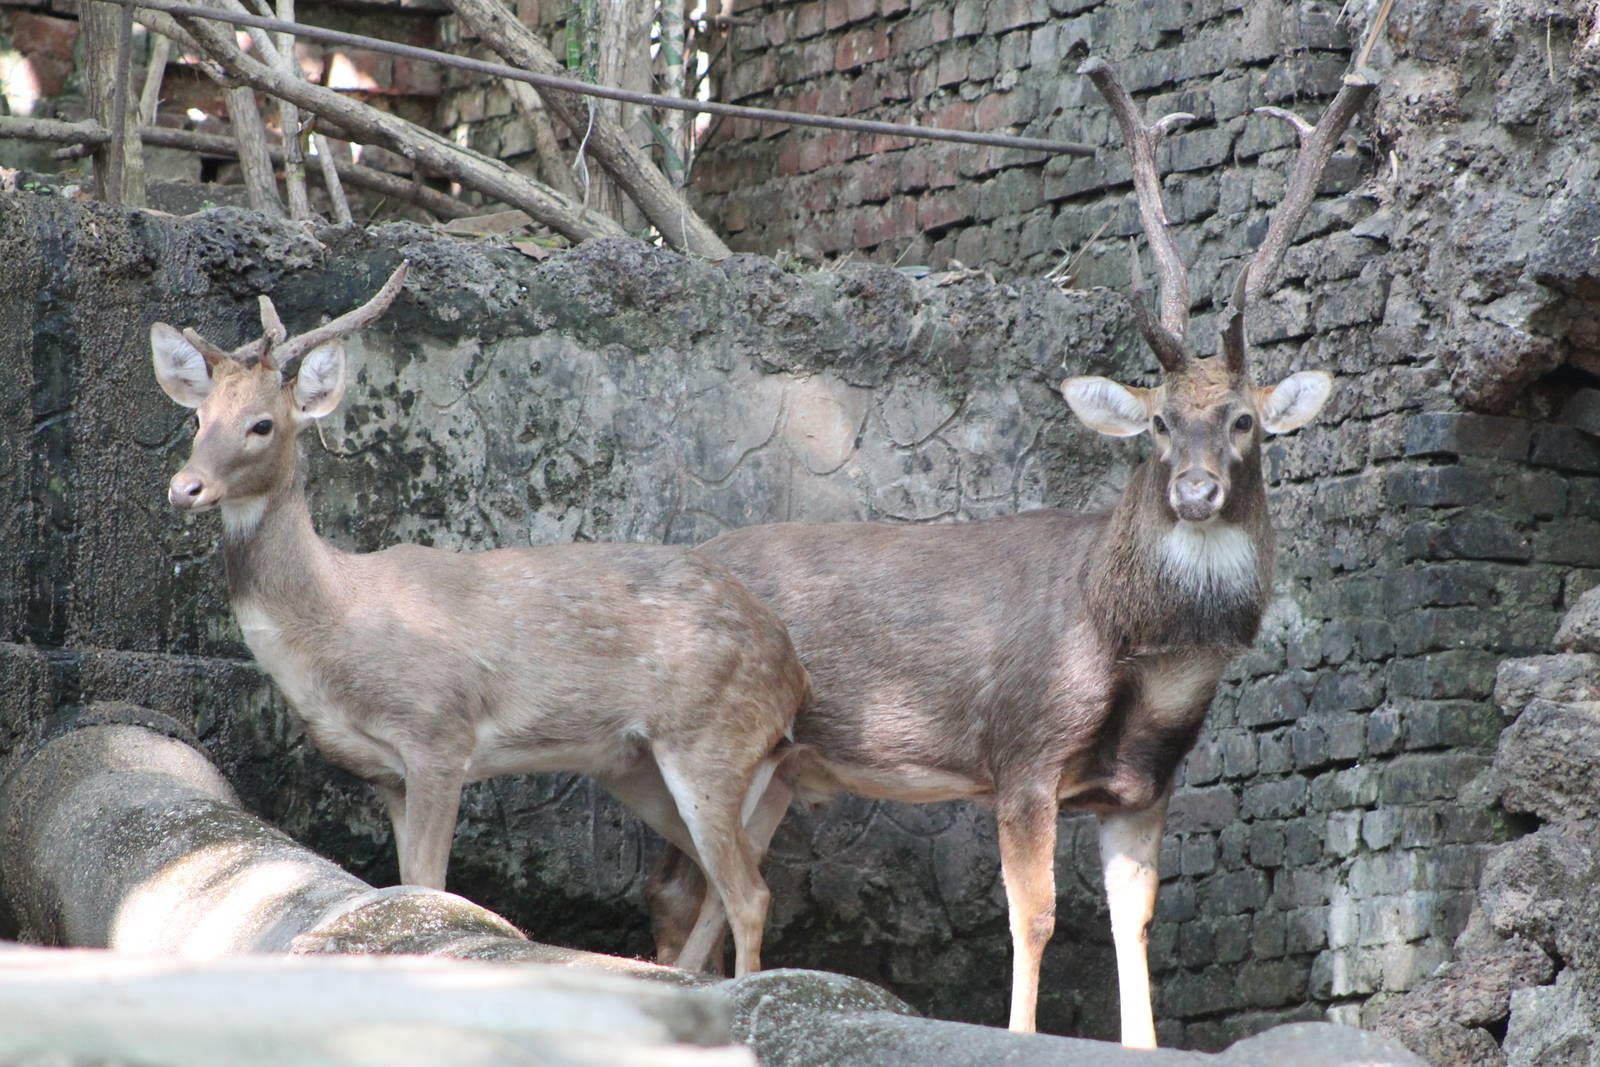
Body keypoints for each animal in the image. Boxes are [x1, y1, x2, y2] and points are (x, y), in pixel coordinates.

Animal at [149, 262, 812, 977]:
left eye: (263, 424)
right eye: (198, 417)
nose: (184, 488)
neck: (334, 624)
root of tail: (792, 672)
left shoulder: (440, 734)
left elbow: (433, 887)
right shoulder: (389, 772)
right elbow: (408, 884)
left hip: (711, 740)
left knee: (748, 891)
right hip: (636, 764)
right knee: (721, 879)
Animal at [643, 56, 1377, 1046]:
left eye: (1245, 421)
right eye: (1157, 422)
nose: (1194, 490)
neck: (1131, 650)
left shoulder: (1142, 786)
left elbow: (1134, 918)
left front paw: (1142, 1039)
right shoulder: (1022, 751)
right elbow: (1033, 913)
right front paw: (1022, 1030)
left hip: (778, 771)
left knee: (716, 891)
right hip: (709, 740)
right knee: (680, 892)